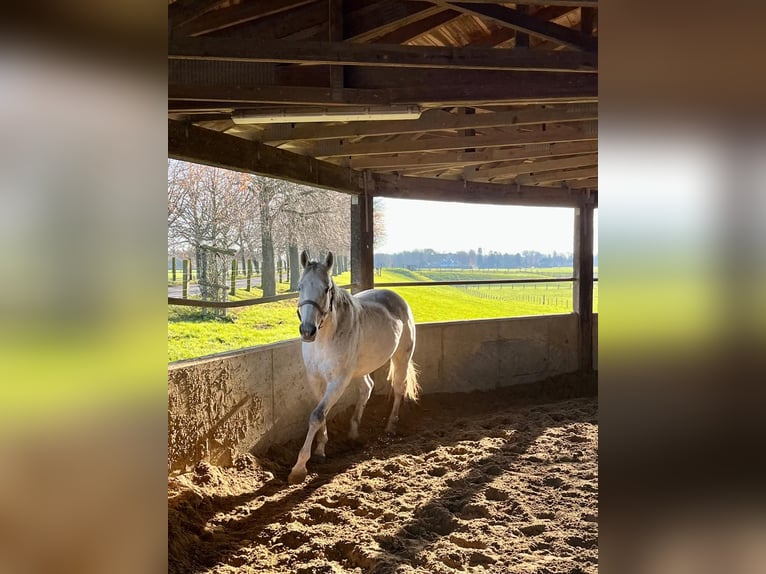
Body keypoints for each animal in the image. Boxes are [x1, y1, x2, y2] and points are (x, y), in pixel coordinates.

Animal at [288, 251, 420, 485]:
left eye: (326, 288)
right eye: (300, 286)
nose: (307, 331)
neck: (325, 338)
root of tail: (398, 299)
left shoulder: (338, 380)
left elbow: (317, 415)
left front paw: (299, 468)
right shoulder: (315, 379)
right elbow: (320, 414)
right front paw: (320, 451)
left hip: (401, 358)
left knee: (398, 389)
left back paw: (390, 427)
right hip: (360, 368)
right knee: (367, 388)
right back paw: (353, 432)